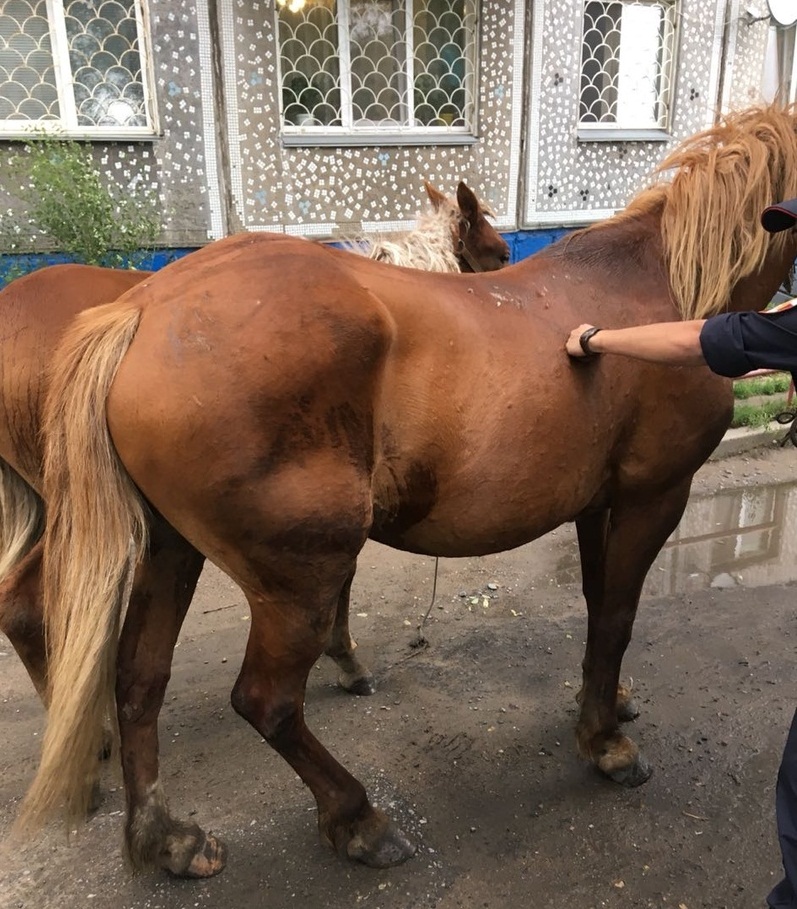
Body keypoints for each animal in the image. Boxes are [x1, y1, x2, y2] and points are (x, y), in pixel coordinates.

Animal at [17, 104, 797, 878]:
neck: (662, 287)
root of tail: (143, 310)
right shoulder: (652, 497)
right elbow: (615, 617)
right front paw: (605, 742)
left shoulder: (598, 506)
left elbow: (598, 602)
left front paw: (607, 702)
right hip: (299, 577)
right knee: (266, 701)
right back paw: (357, 819)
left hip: (170, 552)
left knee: (137, 682)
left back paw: (167, 837)